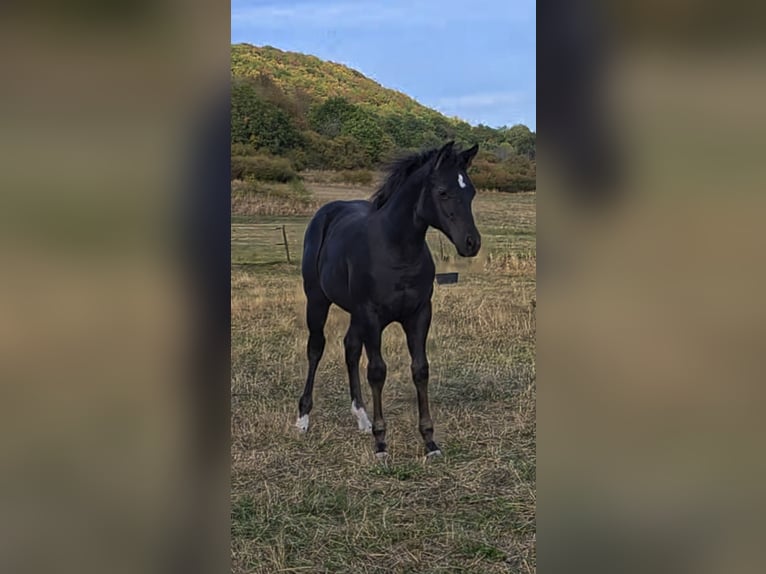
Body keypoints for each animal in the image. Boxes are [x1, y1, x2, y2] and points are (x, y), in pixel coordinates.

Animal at [295, 141, 481, 458]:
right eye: (443, 192)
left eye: (471, 192)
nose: (472, 243)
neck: (396, 249)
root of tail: (326, 212)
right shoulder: (372, 316)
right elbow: (377, 371)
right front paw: (381, 443)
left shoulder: (419, 315)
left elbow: (420, 370)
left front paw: (429, 441)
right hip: (317, 300)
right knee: (316, 348)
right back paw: (304, 418)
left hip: (355, 313)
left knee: (350, 347)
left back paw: (361, 417)